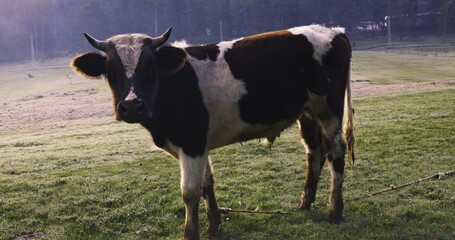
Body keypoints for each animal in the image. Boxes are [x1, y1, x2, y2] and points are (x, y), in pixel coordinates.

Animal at [71, 24, 356, 240]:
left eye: (151, 69)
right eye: (110, 72)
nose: (132, 106)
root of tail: (335, 31)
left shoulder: (192, 143)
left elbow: (190, 192)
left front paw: (191, 234)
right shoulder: (197, 144)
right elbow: (207, 182)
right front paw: (214, 225)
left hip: (330, 111)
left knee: (335, 154)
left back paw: (335, 210)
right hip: (307, 113)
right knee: (314, 152)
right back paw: (305, 203)